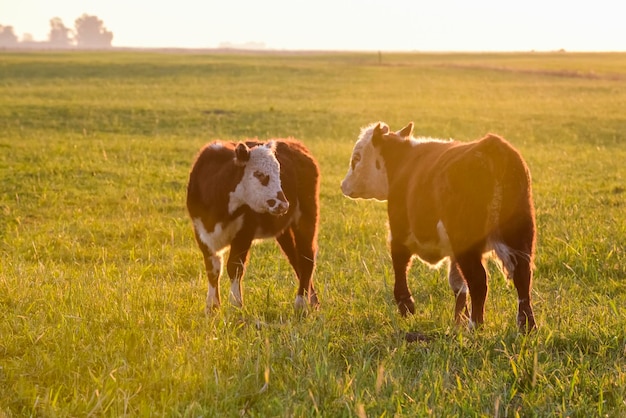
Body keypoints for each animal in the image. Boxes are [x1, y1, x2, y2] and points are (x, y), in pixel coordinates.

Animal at [186, 139, 320, 312]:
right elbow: (213, 270)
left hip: (307, 217)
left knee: (306, 258)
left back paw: (301, 303)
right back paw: (313, 301)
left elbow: (234, 267)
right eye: (259, 174)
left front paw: (236, 305)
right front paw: (212, 307)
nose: (283, 204)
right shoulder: (201, 233)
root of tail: (295, 143)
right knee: (295, 259)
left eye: (279, 173)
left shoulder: (244, 232)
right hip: (284, 230)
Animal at [342, 121, 536, 334]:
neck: (402, 164)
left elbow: (400, 265)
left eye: (356, 158)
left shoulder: (399, 232)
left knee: (479, 280)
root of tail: (492, 148)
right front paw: (459, 320)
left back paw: (475, 325)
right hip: (520, 235)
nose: (344, 185)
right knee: (522, 277)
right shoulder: (452, 252)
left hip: (467, 242)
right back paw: (526, 325)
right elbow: (458, 284)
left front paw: (406, 306)